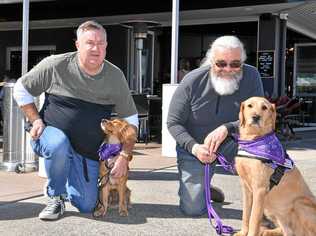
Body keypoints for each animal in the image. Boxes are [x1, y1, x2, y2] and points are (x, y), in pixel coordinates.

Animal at [235, 96, 316, 236]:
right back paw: (266, 231)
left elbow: (253, 220)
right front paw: (243, 232)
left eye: (264, 107)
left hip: (298, 203)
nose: (256, 117)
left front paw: (251, 232)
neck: (253, 140)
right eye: (250, 106)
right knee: (286, 231)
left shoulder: (260, 190)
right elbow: (246, 214)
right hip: (271, 209)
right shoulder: (246, 188)